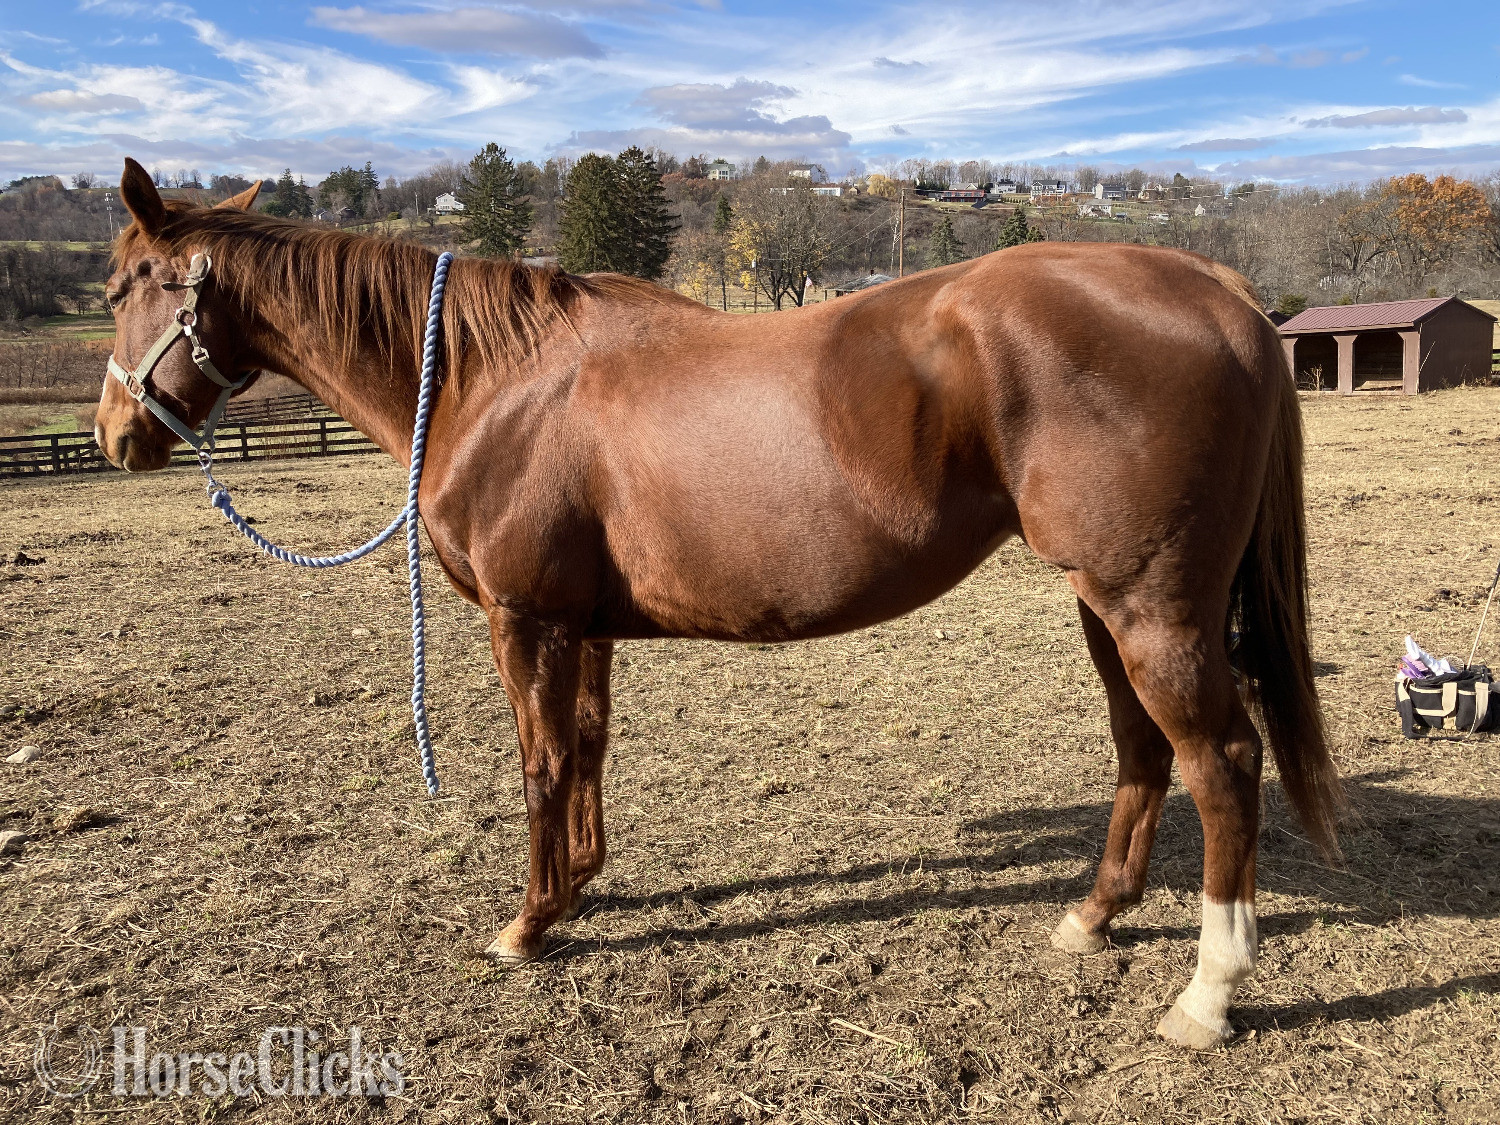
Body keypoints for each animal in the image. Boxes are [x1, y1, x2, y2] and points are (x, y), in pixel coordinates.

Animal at [95, 158, 1342, 1050]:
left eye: (124, 288)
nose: (114, 438)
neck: (494, 382)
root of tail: (1215, 288)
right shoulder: (582, 626)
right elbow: (588, 749)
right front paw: (578, 889)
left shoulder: (523, 619)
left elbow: (540, 764)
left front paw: (525, 926)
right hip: (1105, 605)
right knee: (1144, 748)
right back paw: (1093, 917)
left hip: (1150, 609)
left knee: (1223, 762)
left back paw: (1207, 998)